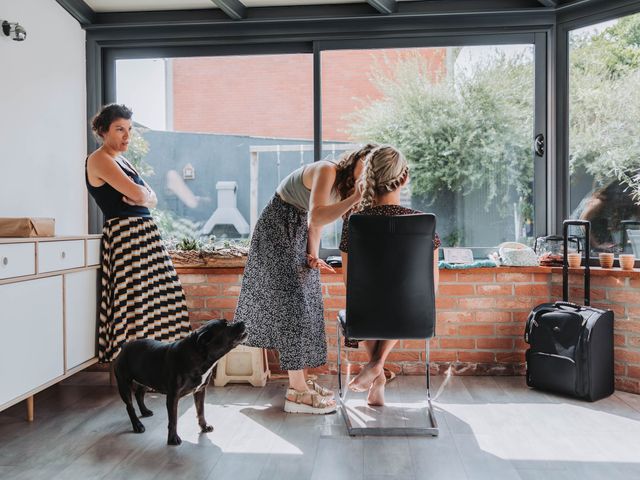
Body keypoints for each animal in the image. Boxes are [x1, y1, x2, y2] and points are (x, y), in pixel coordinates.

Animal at [114, 318, 246, 446]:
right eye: (226, 325)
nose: (242, 322)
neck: (199, 355)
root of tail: (125, 346)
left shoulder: (200, 391)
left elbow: (201, 411)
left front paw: (204, 427)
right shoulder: (173, 396)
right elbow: (173, 419)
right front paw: (173, 438)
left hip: (146, 379)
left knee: (139, 394)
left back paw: (145, 411)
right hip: (124, 384)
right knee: (129, 406)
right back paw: (137, 425)